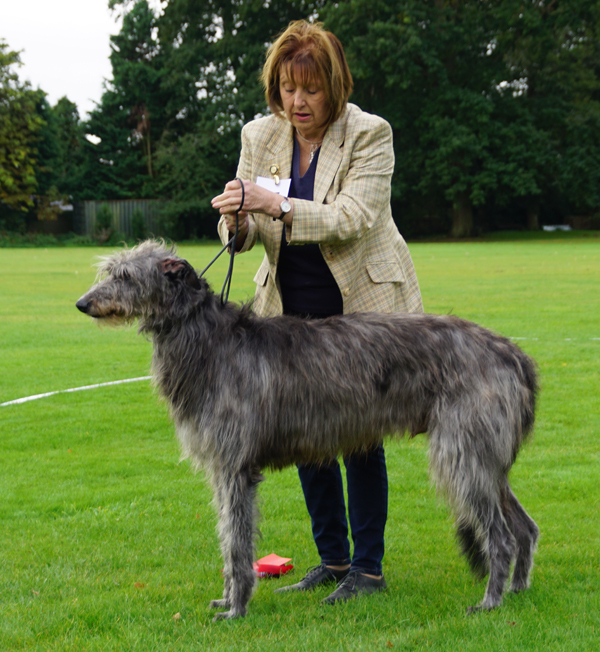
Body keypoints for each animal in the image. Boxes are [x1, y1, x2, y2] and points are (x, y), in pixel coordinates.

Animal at [75, 241, 540, 620]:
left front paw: (236, 608)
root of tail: (512, 352)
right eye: (110, 271)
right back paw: (518, 589)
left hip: (462, 452)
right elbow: (228, 535)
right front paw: (227, 598)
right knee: (525, 527)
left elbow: (236, 541)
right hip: (485, 458)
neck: (209, 343)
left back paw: (490, 602)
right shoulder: (225, 470)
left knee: (500, 535)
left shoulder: (233, 468)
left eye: (125, 275)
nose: (82, 304)